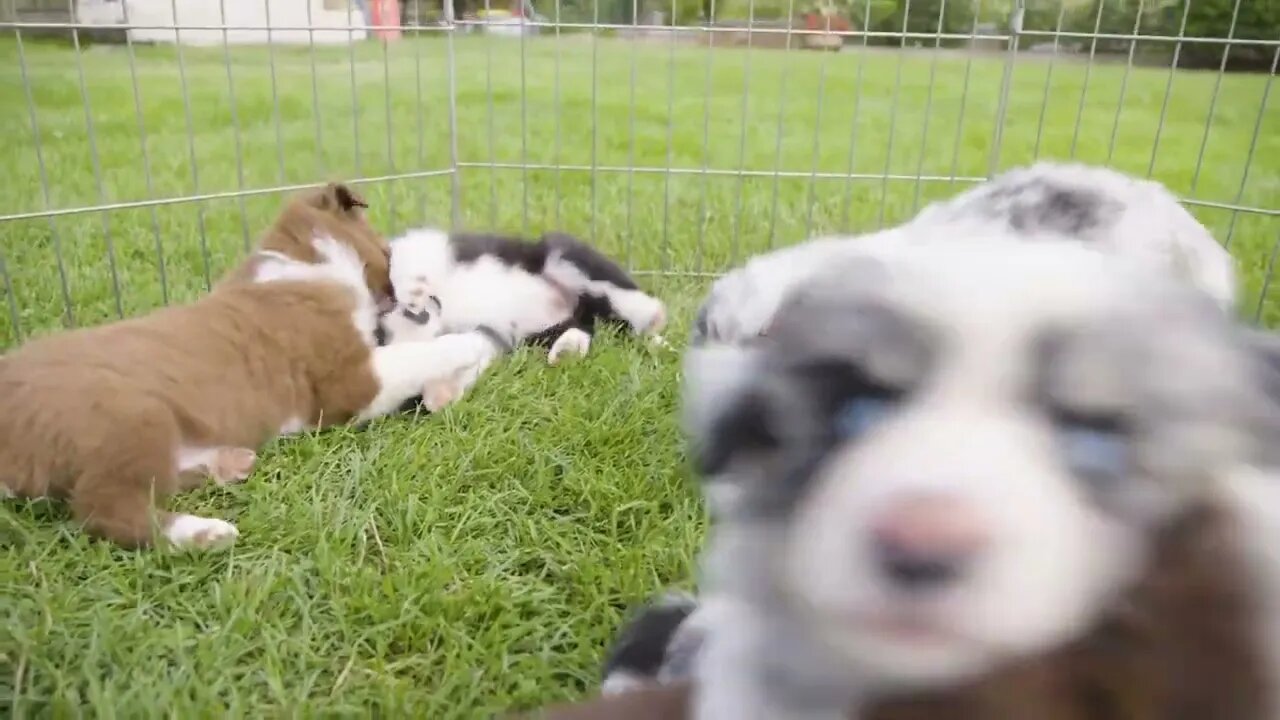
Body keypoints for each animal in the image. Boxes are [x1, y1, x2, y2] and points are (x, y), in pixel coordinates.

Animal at [0, 181, 496, 545]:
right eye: (388, 253)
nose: (416, 297)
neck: (308, 264)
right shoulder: (350, 382)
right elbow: (427, 351)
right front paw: (472, 341)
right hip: (131, 414)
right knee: (107, 509)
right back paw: (204, 533)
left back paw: (228, 463)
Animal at [373, 228, 665, 363]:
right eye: (379, 336)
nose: (412, 311)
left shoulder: (429, 246)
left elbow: (408, 263)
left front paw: (413, 291)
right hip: (543, 331)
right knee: (584, 326)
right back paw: (568, 350)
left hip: (560, 253)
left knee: (618, 294)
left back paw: (655, 324)